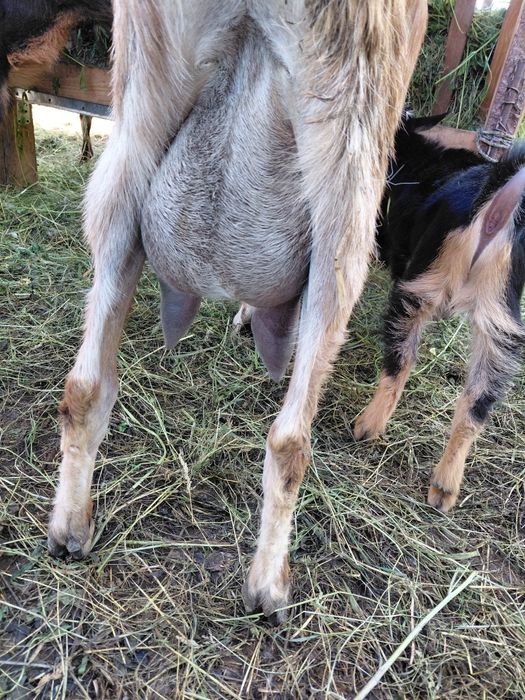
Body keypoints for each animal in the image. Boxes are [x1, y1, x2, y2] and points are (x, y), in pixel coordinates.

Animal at [47, 0, 427, 622]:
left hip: (136, 111)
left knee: (84, 383)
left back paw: (69, 527)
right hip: (352, 153)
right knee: (292, 439)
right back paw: (269, 586)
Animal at [354, 115, 525, 512]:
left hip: (419, 284)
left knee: (400, 361)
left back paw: (367, 427)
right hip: (501, 326)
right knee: (476, 404)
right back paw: (444, 487)